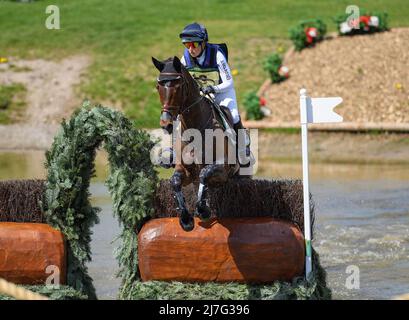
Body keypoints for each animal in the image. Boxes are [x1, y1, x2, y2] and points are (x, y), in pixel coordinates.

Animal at [151, 55, 247, 230]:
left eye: (178, 86)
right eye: (158, 86)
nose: (166, 124)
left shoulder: (223, 168)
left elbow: (205, 173)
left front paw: (202, 209)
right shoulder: (186, 170)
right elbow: (175, 181)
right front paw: (185, 218)